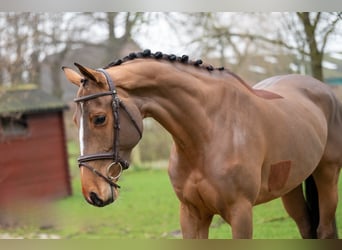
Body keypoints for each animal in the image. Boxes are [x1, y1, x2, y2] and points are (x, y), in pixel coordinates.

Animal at [62, 49, 340, 238]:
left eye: (99, 118)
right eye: (74, 120)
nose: (92, 193)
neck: (208, 134)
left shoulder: (241, 213)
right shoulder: (191, 214)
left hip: (327, 174)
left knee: (325, 230)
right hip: (289, 186)